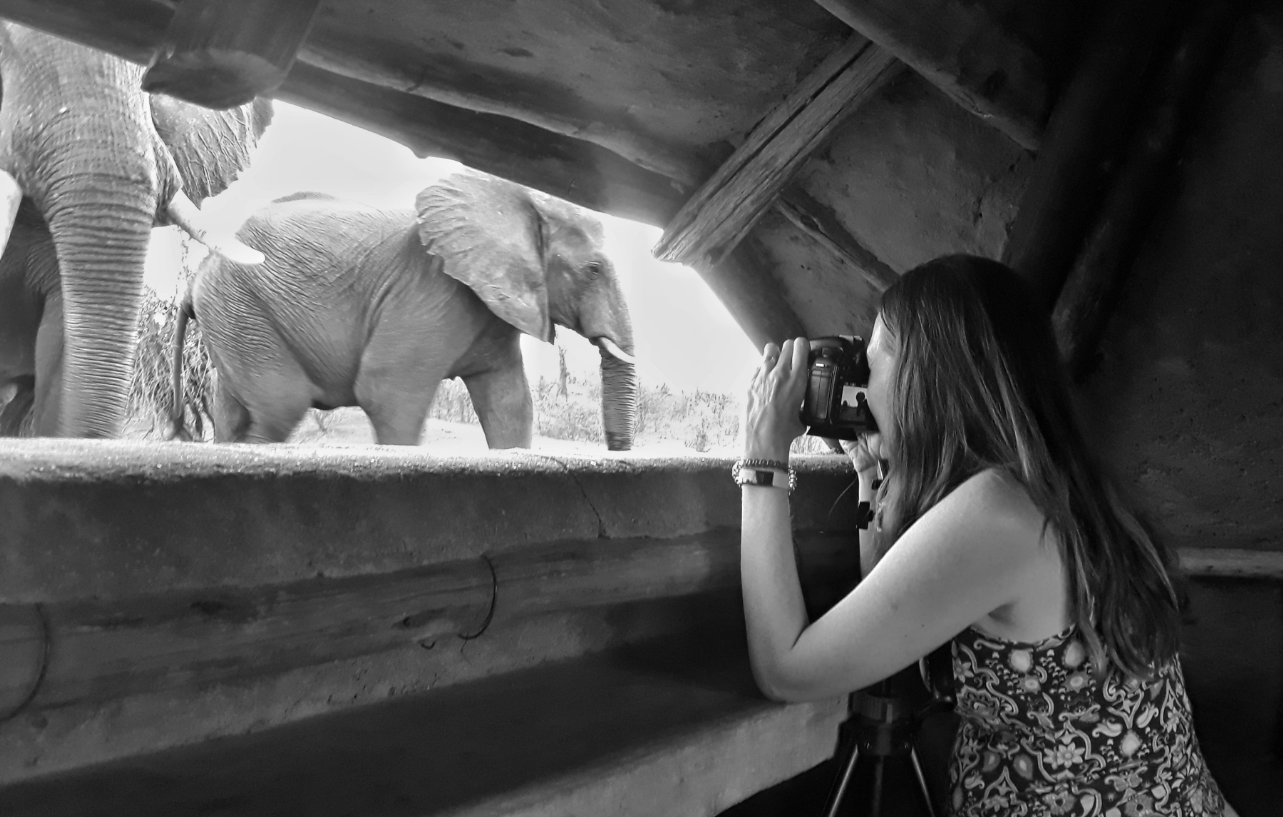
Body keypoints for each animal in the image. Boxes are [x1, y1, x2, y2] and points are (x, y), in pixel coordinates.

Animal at [173, 171, 641, 448]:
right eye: (593, 270)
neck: (518, 201)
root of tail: (197, 277)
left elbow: (511, 405)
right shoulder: (434, 291)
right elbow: (388, 392)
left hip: (232, 314)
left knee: (234, 412)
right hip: (240, 302)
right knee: (280, 406)